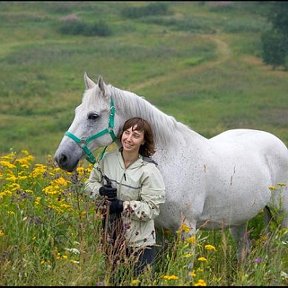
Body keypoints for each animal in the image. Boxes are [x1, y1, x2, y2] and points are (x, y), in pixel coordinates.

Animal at [54, 73, 288, 260]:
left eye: (93, 116)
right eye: (76, 111)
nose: (62, 157)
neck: (169, 163)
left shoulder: (188, 230)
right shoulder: (157, 229)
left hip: (281, 215)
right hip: (238, 220)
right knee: (243, 251)